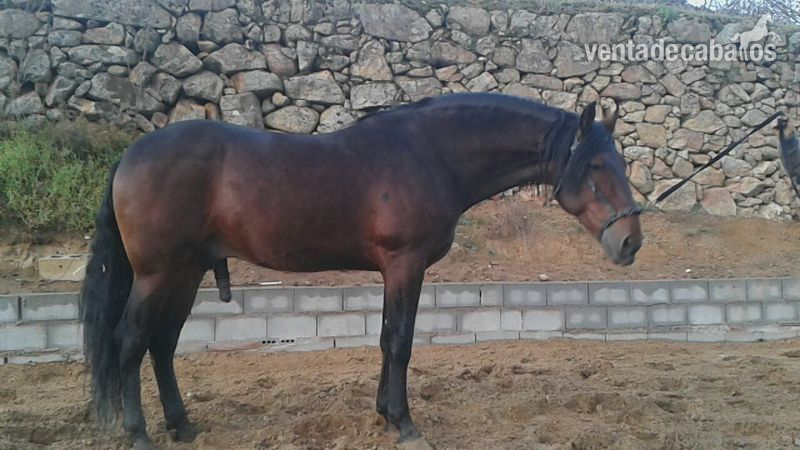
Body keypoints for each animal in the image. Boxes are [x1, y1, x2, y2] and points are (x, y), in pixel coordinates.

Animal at [80, 92, 643, 450]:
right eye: (596, 166)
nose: (631, 241)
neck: (429, 153)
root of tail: (130, 155)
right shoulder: (405, 264)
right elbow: (401, 342)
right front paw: (405, 425)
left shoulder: (391, 271)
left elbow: (386, 338)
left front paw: (383, 413)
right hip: (157, 273)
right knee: (130, 339)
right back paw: (139, 433)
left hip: (187, 270)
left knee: (162, 343)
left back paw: (182, 425)